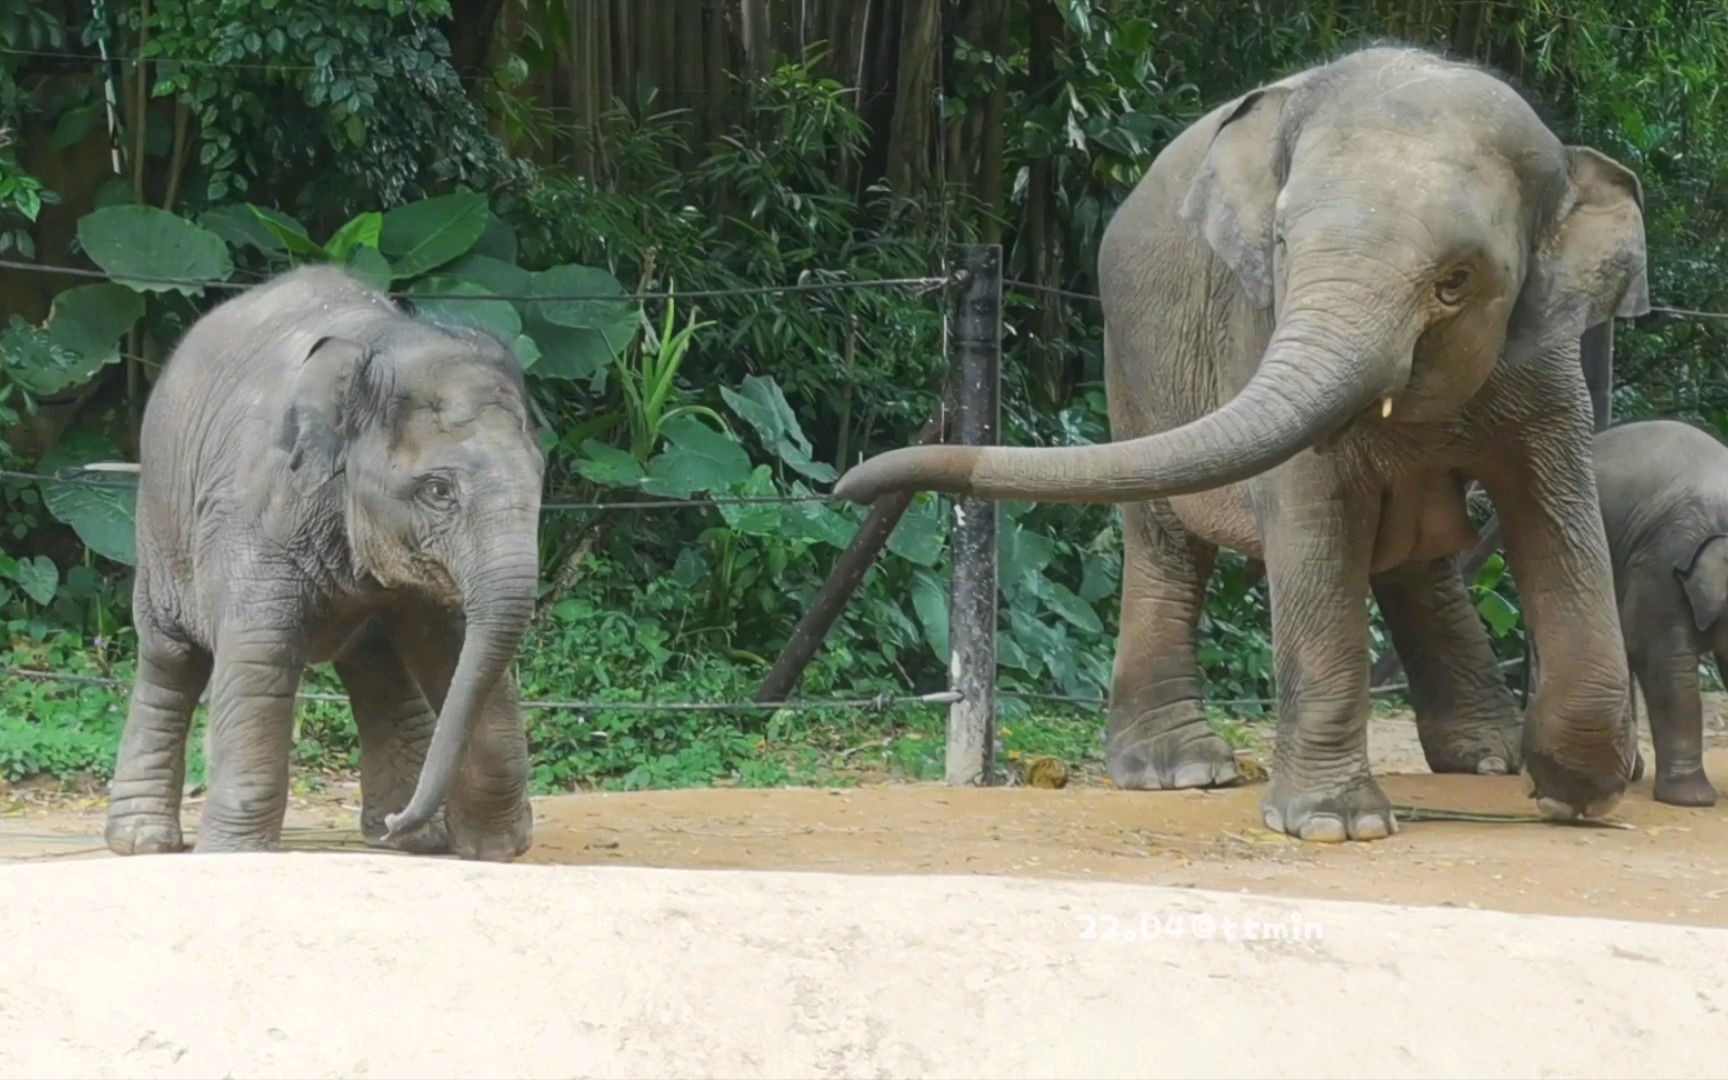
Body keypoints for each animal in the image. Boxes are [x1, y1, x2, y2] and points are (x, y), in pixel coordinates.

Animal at [832, 46, 1645, 843]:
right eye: (1281, 244)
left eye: (1457, 279)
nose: (846, 486)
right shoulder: (1257, 323)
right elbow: (1313, 521)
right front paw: (1335, 826)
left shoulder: (1547, 363)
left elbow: (1557, 518)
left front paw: (1572, 791)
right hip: (1132, 357)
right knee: (1168, 541)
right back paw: (1183, 771)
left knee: (1416, 559)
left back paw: (1487, 758)